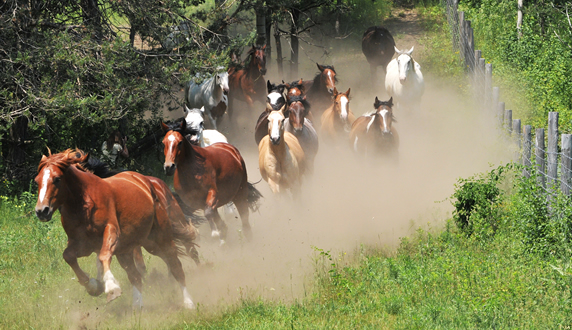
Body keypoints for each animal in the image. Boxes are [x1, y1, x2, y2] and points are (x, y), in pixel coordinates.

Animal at [34, 150, 199, 310]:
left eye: (57, 179)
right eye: (37, 181)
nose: (42, 211)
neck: (85, 203)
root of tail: (147, 182)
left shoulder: (111, 231)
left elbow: (104, 255)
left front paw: (111, 287)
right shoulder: (83, 244)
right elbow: (68, 256)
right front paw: (93, 286)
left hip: (160, 239)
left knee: (177, 265)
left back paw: (189, 301)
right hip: (135, 248)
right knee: (136, 275)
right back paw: (137, 306)